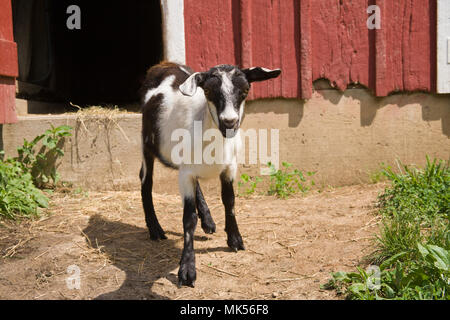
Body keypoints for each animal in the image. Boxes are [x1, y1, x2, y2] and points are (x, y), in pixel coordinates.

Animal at [141, 61, 282, 286]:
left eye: (245, 90)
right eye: (207, 91)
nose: (229, 122)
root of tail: (165, 64)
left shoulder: (229, 167)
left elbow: (229, 202)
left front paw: (235, 239)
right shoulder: (186, 173)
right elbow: (188, 218)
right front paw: (187, 269)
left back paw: (207, 220)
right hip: (147, 143)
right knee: (145, 180)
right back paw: (155, 228)